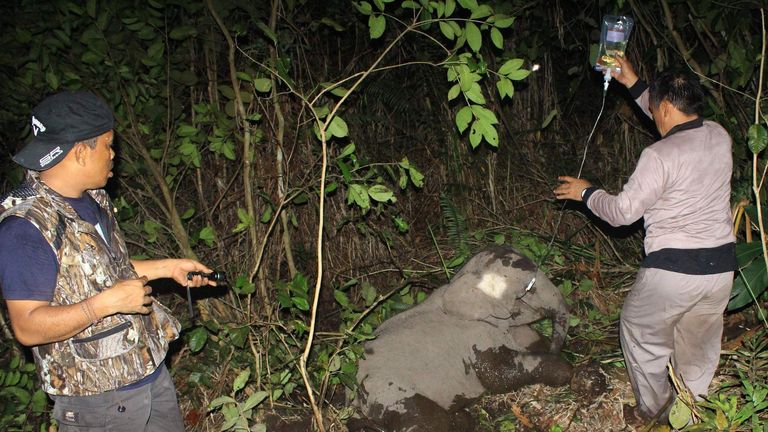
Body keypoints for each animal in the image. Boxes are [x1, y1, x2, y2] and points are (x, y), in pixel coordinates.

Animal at [350, 246, 572, 432]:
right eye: (530, 288)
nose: (555, 349)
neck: (463, 278)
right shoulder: (474, 333)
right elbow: (497, 375)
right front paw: (567, 371)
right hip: (388, 392)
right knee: (429, 423)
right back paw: (462, 416)